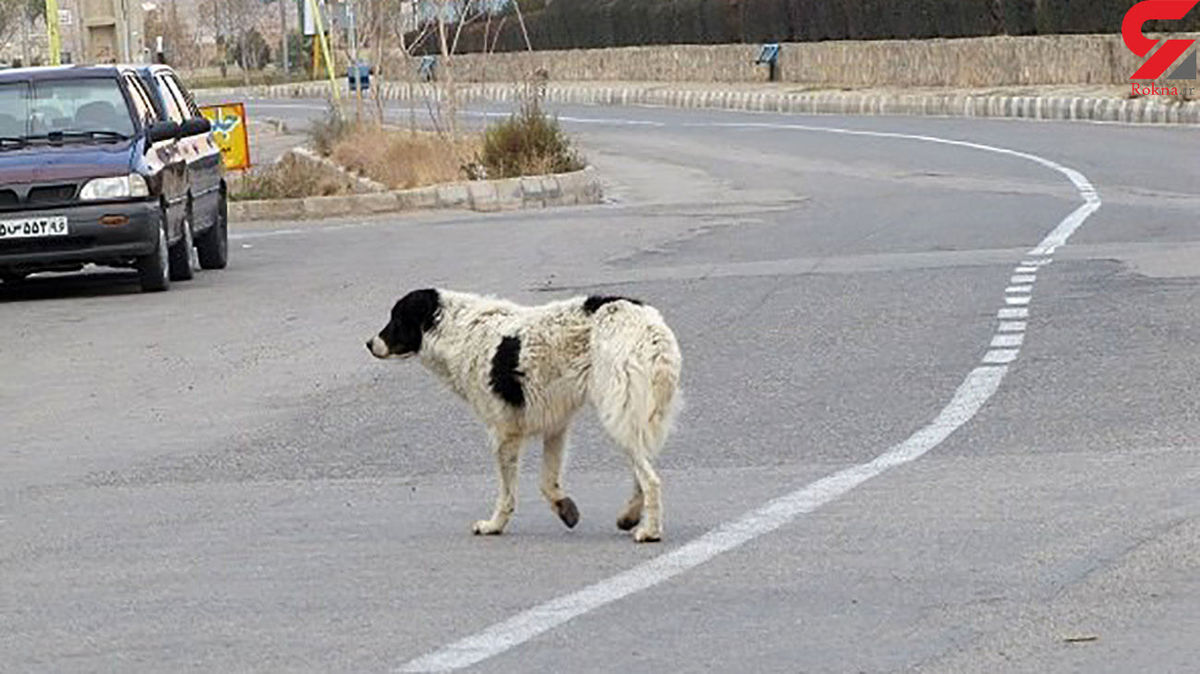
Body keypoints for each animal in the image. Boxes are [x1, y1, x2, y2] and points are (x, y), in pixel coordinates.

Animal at [364, 287, 681, 539]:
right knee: (641, 473)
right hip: (630, 417)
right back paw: (630, 516)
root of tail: (651, 328)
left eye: (395, 318)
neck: (457, 332)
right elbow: (547, 482)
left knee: (650, 480)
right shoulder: (556, 426)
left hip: (617, 414)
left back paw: (650, 531)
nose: (368, 344)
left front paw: (493, 526)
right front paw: (564, 508)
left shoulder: (504, 434)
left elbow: (507, 494)